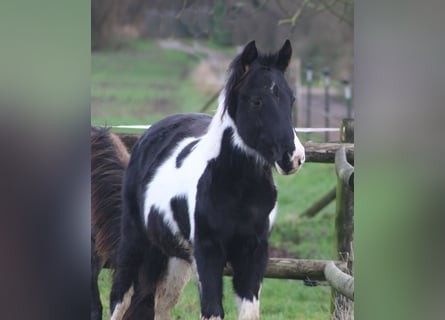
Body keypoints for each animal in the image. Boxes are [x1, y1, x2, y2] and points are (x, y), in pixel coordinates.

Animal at [110, 40, 306, 320]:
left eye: (291, 99)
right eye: (257, 101)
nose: (294, 157)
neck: (239, 192)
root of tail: (150, 134)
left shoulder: (254, 253)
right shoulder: (208, 253)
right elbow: (212, 311)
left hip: (175, 258)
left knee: (161, 305)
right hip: (134, 242)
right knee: (120, 298)